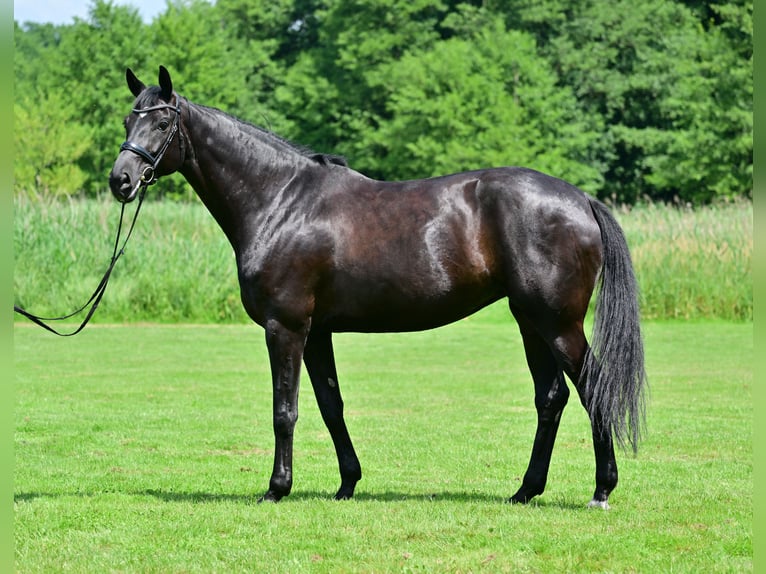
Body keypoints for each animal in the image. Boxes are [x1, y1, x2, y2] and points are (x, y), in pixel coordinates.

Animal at [109, 65, 648, 510]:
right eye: (127, 121)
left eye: (162, 124)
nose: (122, 181)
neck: (281, 200)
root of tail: (581, 199)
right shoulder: (316, 332)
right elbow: (330, 406)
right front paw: (347, 483)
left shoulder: (285, 326)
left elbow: (285, 409)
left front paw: (277, 489)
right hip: (529, 321)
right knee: (550, 398)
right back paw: (525, 491)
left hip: (557, 323)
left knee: (593, 388)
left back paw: (601, 490)